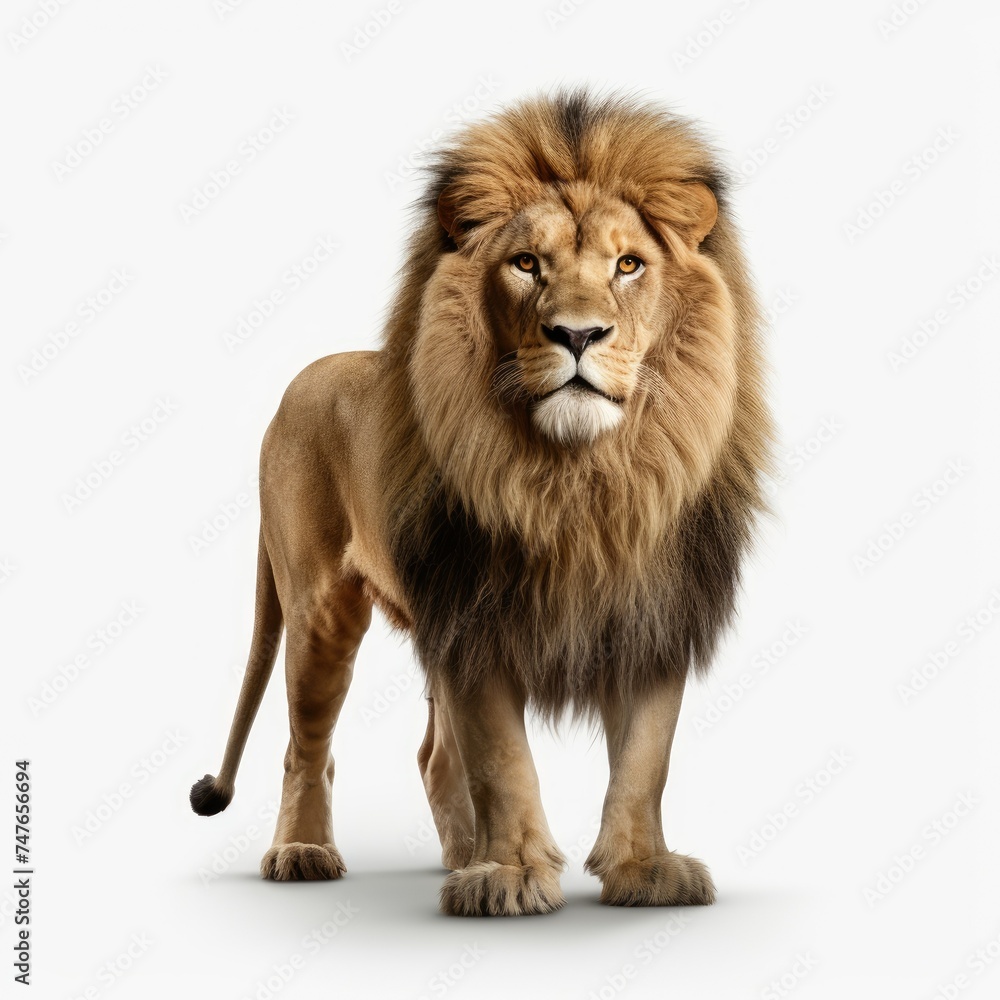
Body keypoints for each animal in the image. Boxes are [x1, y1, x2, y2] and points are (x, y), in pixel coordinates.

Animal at [190, 90, 772, 916]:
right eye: (527, 264)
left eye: (629, 264)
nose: (578, 334)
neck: (581, 478)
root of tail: (295, 386)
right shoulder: (476, 614)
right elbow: (501, 757)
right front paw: (513, 875)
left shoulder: (653, 612)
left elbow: (644, 758)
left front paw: (643, 870)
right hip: (318, 606)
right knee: (307, 744)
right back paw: (304, 852)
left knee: (434, 754)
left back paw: (461, 854)